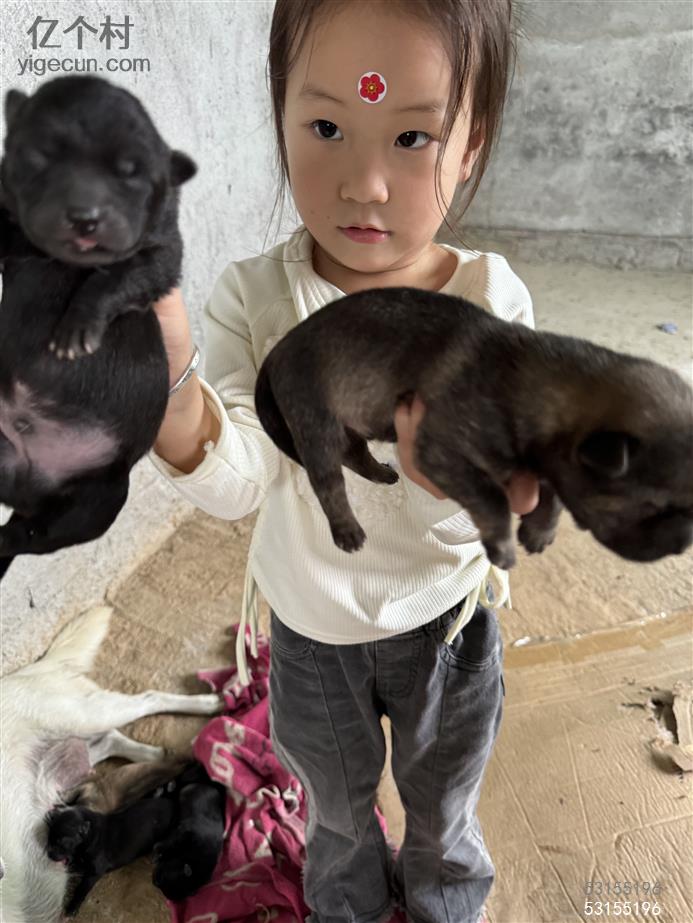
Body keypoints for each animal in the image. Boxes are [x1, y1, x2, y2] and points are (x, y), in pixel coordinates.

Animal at [0, 75, 196, 579]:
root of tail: (28, 483)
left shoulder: (162, 253)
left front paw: (75, 333)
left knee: (39, 535)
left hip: (104, 493)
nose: (84, 217)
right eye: (38, 156)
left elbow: (113, 278)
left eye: (131, 173)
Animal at [0, 606, 222, 923]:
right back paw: (160, 755)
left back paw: (211, 703)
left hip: (85, 713)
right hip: (67, 754)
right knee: (112, 739)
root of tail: (34, 668)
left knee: (149, 698)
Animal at [255, 287, 693, 568]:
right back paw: (347, 530)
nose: (682, 547)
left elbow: (552, 494)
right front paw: (502, 543)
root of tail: (276, 351)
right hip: (317, 420)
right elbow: (492, 497)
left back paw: (380, 473)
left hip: (347, 419)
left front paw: (539, 531)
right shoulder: (443, 451)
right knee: (329, 481)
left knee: (356, 454)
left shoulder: (549, 463)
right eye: (654, 506)